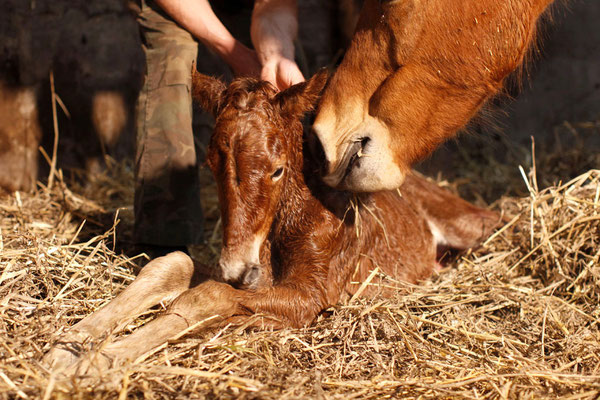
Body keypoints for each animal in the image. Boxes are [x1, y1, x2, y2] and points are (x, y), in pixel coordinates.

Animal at [44, 70, 500, 374]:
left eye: (278, 169)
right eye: (211, 164)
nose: (237, 266)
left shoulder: (313, 296)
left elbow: (209, 297)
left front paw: (99, 360)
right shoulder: (249, 276)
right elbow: (173, 263)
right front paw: (69, 345)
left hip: (468, 224)